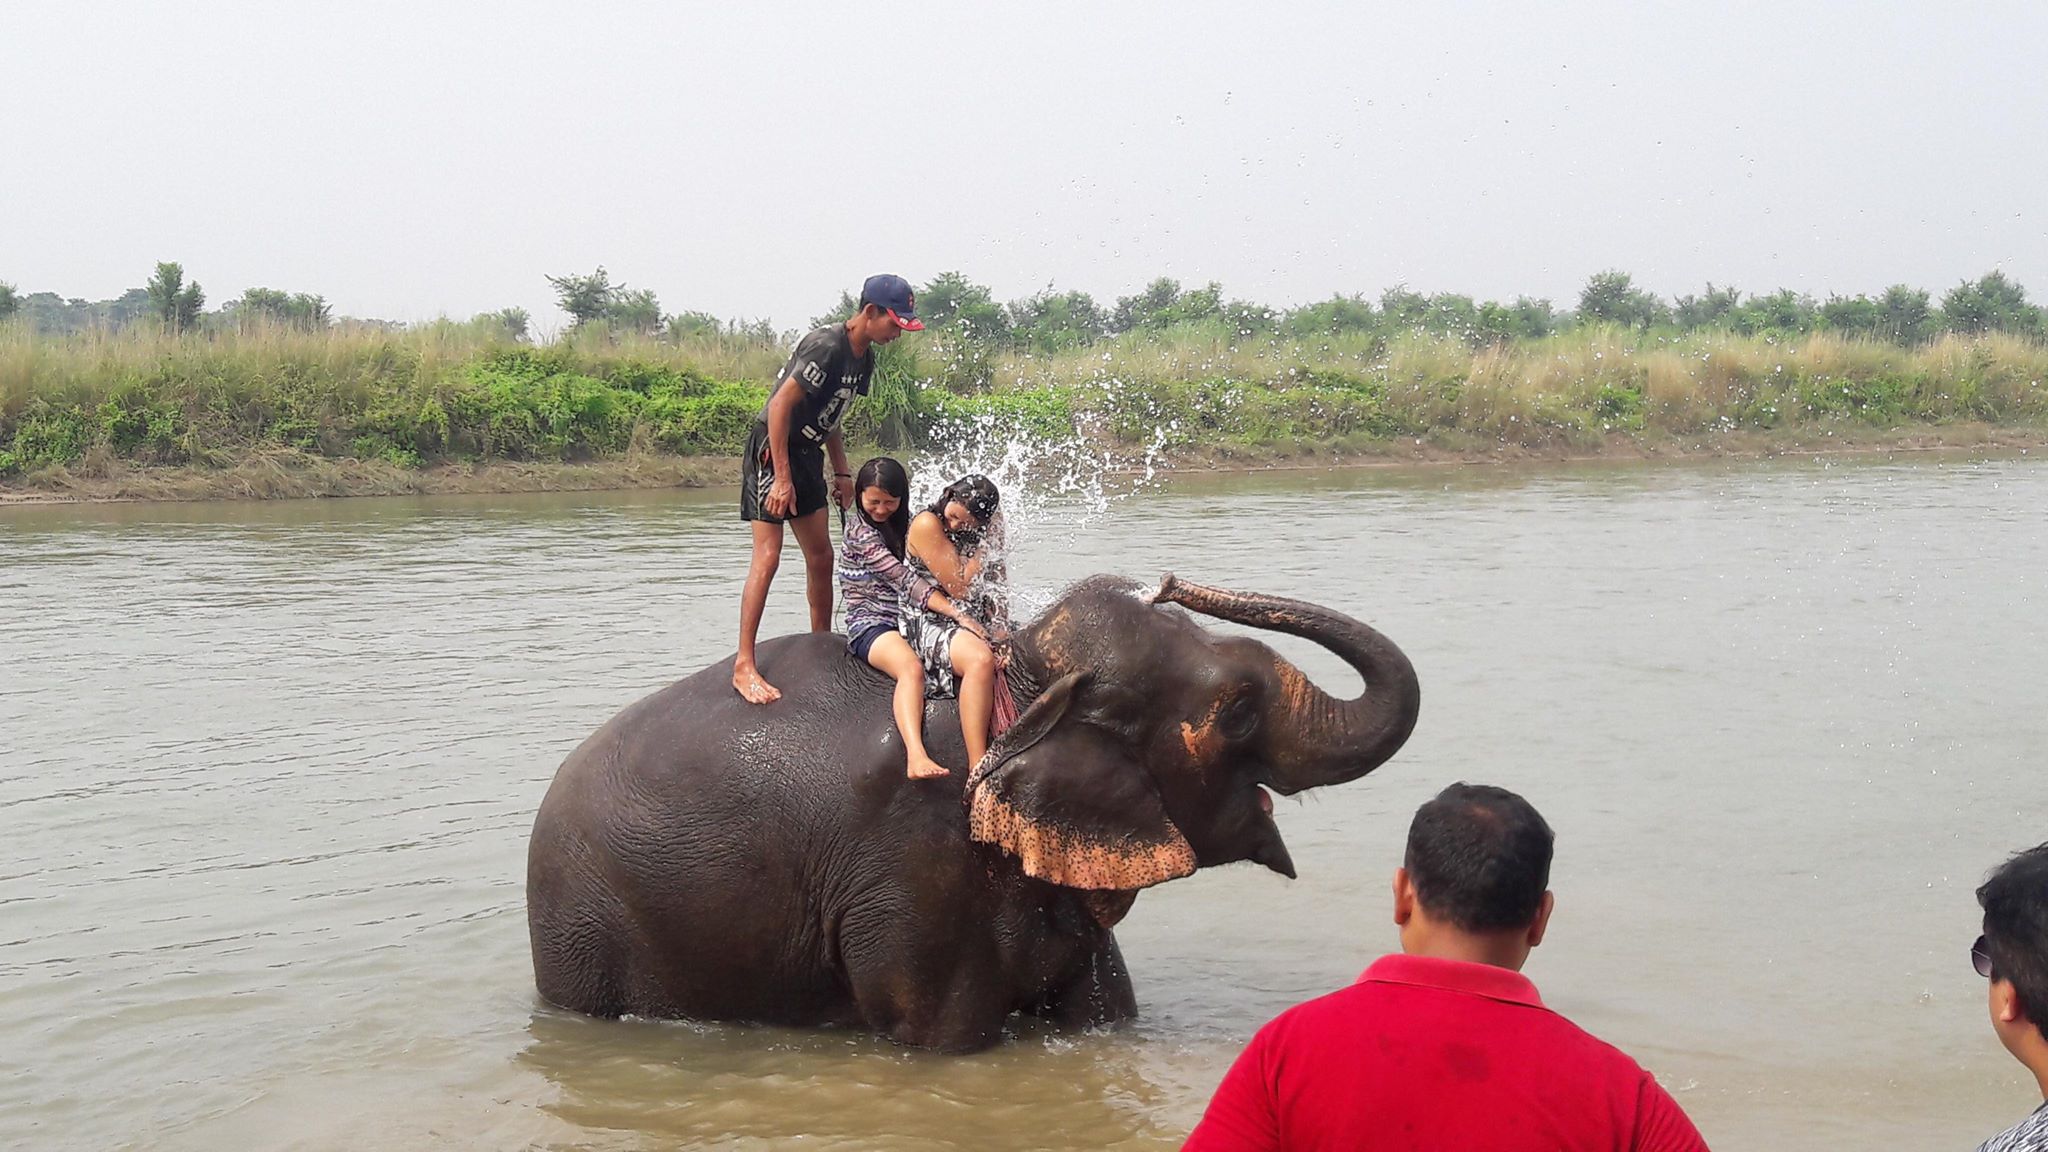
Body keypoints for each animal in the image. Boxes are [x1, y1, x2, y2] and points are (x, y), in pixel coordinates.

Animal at [528, 569, 1417, 1045]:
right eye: (1236, 710)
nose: (1167, 580)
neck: (1021, 678)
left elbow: (1104, 1008)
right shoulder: (915, 873)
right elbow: (940, 1035)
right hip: (584, 928)